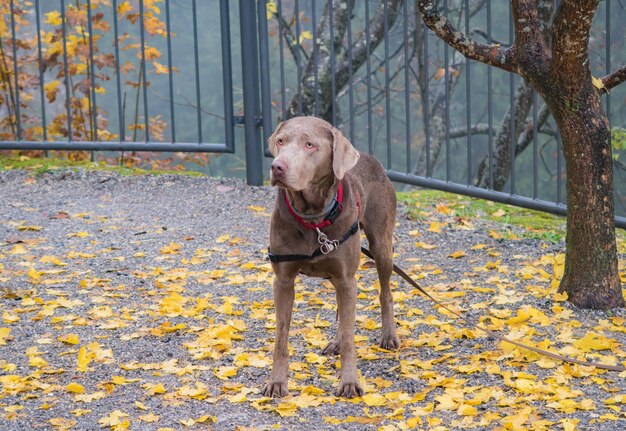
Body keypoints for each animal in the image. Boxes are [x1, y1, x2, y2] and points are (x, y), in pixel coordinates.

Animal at [260, 115, 398, 398]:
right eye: (281, 141)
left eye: (310, 144)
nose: (277, 166)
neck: (313, 218)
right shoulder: (283, 280)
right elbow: (281, 335)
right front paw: (277, 381)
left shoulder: (346, 278)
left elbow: (350, 336)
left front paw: (349, 382)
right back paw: (335, 341)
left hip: (382, 245)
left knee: (385, 293)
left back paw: (389, 335)